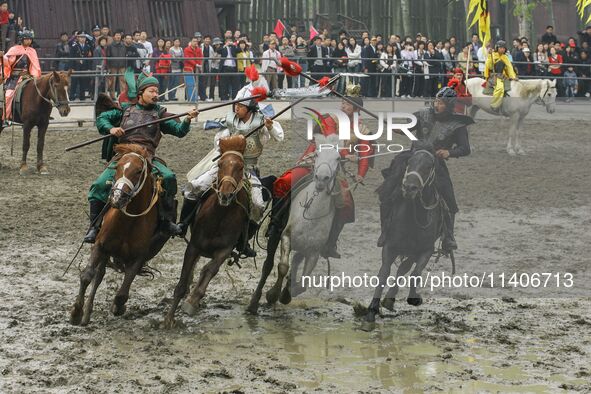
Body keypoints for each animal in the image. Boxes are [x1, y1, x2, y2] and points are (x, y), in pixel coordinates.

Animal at [71, 145, 171, 326]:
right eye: (117, 167)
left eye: (138, 171)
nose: (117, 197)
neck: (127, 221)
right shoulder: (100, 245)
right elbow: (87, 275)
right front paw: (76, 313)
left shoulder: (139, 257)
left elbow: (122, 294)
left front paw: (118, 308)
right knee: (98, 275)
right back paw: (86, 313)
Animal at [164, 135, 250, 330]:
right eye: (220, 164)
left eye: (241, 166)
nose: (225, 195)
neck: (219, 217)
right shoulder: (194, 246)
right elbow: (181, 283)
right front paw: (169, 319)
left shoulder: (224, 251)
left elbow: (210, 270)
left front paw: (192, 302)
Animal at [264, 135, 342, 304]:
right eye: (317, 154)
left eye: (338, 158)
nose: (322, 178)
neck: (311, 216)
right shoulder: (286, 236)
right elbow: (283, 266)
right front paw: (273, 294)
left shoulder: (313, 252)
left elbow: (303, 283)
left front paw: (287, 293)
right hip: (275, 236)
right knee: (268, 265)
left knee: (295, 262)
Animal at [366, 142, 444, 324]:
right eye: (410, 162)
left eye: (429, 166)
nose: (409, 188)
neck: (413, 220)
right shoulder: (389, 246)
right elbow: (383, 273)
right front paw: (372, 310)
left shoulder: (426, 250)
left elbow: (415, 272)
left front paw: (414, 298)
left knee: (405, 268)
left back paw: (390, 299)